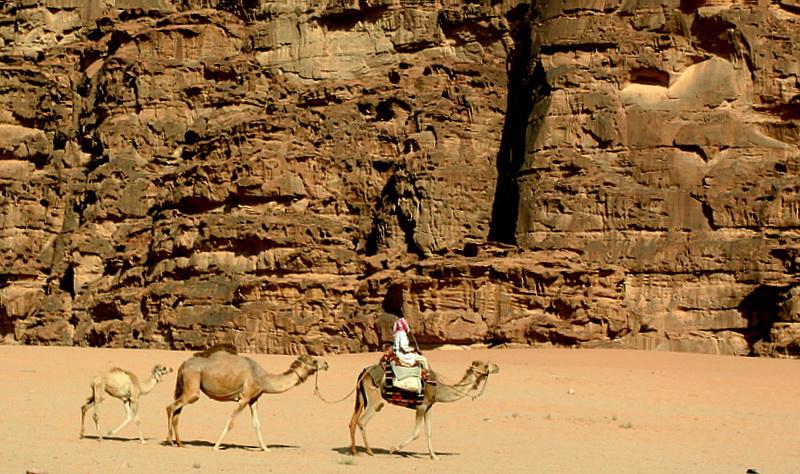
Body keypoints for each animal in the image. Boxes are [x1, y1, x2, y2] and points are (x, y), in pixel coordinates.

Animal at [166, 342, 328, 450]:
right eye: (314, 360)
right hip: (192, 385)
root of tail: (183, 365)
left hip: (187, 388)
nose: (326, 364)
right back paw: (169, 441)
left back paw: (180, 443)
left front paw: (265, 448)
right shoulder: (244, 398)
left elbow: (257, 424)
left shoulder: (254, 398)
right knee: (171, 407)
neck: (262, 378)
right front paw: (217, 446)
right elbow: (231, 422)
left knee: (177, 413)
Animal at [350, 360, 500, 460]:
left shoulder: (429, 407)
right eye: (485, 365)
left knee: (352, 421)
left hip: (361, 397)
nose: (498, 367)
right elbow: (417, 433)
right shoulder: (421, 407)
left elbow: (429, 432)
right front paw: (394, 449)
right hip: (375, 398)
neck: (438, 389)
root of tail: (364, 372)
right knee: (363, 420)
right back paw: (369, 452)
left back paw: (355, 452)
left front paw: (434, 456)